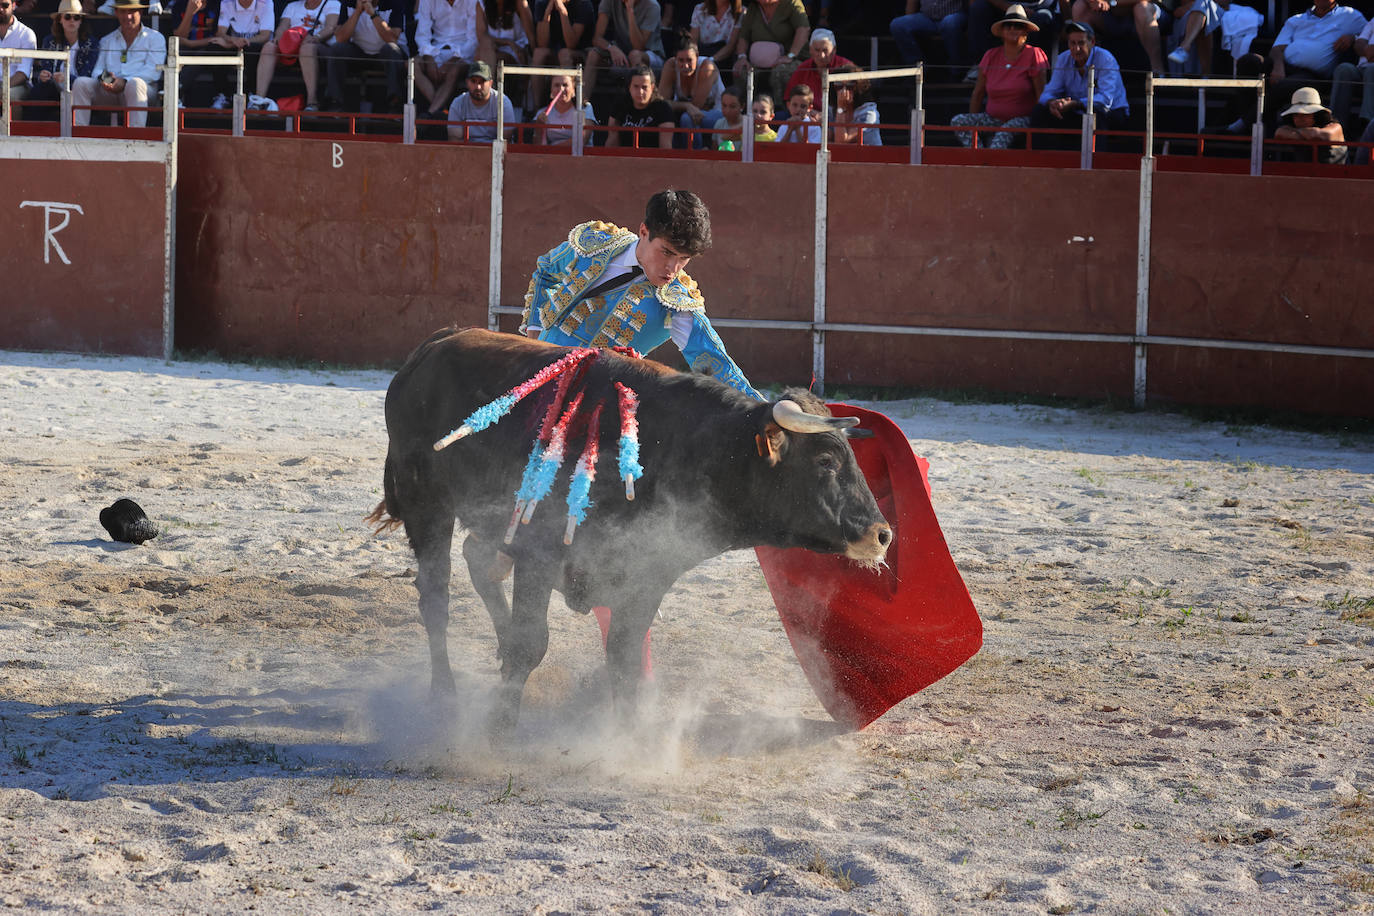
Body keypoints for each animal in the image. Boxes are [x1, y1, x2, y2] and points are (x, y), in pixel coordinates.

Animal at [370, 325, 895, 736]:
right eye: (825, 460)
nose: (882, 535)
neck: (677, 449)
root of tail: (435, 344)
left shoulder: (646, 574)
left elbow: (623, 659)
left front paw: (626, 743)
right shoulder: (539, 554)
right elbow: (530, 643)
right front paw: (498, 729)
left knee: (479, 562)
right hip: (428, 509)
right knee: (436, 598)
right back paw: (444, 693)